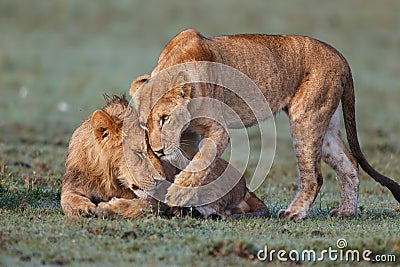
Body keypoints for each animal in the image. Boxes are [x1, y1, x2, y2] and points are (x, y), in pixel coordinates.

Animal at [60, 94, 268, 220]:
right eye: (139, 153)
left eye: (157, 153)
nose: (162, 180)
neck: (110, 179)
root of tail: (244, 184)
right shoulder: (74, 183)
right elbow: (67, 198)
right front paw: (81, 208)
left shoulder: (157, 198)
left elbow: (141, 206)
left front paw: (108, 207)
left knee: (220, 210)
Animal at [132, 29, 400, 222]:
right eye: (144, 125)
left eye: (165, 118)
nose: (157, 151)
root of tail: (342, 58)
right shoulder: (189, 136)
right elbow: (194, 165)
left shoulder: (218, 130)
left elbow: (200, 163)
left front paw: (179, 193)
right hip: (326, 126)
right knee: (349, 163)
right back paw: (346, 212)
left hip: (305, 117)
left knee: (314, 176)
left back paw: (294, 213)